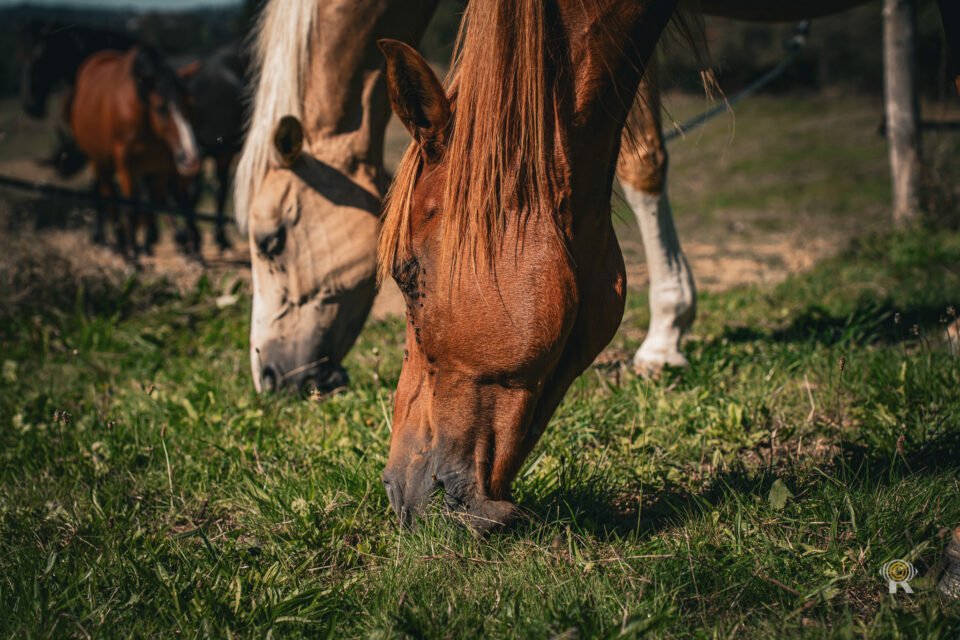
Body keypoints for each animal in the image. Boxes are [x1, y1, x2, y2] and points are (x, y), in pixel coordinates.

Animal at [70, 45, 201, 257]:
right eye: (160, 107)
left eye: (189, 105)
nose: (191, 157)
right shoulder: (125, 163)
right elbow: (131, 208)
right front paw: (132, 256)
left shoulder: (159, 168)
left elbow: (153, 204)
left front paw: (147, 244)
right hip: (100, 162)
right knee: (109, 195)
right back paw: (121, 243)